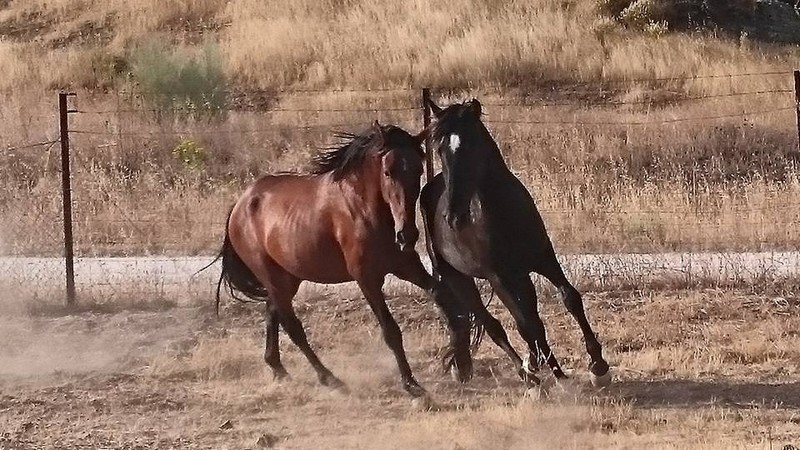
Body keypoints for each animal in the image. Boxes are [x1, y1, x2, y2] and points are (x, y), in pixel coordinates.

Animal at [214, 121, 473, 400]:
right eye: (388, 172)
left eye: (418, 169)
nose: (407, 235)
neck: (365, 209)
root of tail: (239, 205)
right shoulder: (367, 279)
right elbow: (391, 331)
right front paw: (411, 384)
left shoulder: (406, 266)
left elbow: (443, 296)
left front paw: (461, 360)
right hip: (272, 277)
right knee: (293, 326)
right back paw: (329, 378)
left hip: (288, 278)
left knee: (273, 313)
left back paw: (278, 369)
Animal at [419, 98, 611, 387]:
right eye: (440, 149)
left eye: (471, 145)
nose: (453, 217)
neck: (503, 213)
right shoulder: (498, 277)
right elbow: (524, 324)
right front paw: (545, 370)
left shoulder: (544, 259)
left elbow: (569, 299)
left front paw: (598, 367)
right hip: (458, 276)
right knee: (493, 324)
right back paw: (527, 375)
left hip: (519, 275)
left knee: (527, 315)